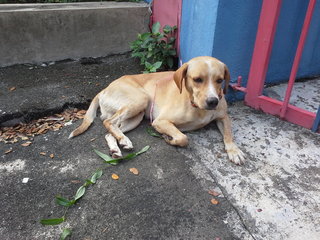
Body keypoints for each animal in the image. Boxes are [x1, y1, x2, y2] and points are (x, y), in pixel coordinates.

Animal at [69, 56, 245, 165]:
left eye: (220, 80)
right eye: (197, 79)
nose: (213, 101)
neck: (194, 104)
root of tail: (104, 89)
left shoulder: (223, 117)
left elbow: (228, 134)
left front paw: (234, 150)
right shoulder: (160, 121)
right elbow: (183, 138)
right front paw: (169, 138)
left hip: (136, 116)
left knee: (109, 132)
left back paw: (118, 147)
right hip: (140, 100)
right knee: (108, 122)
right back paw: (123, 140)